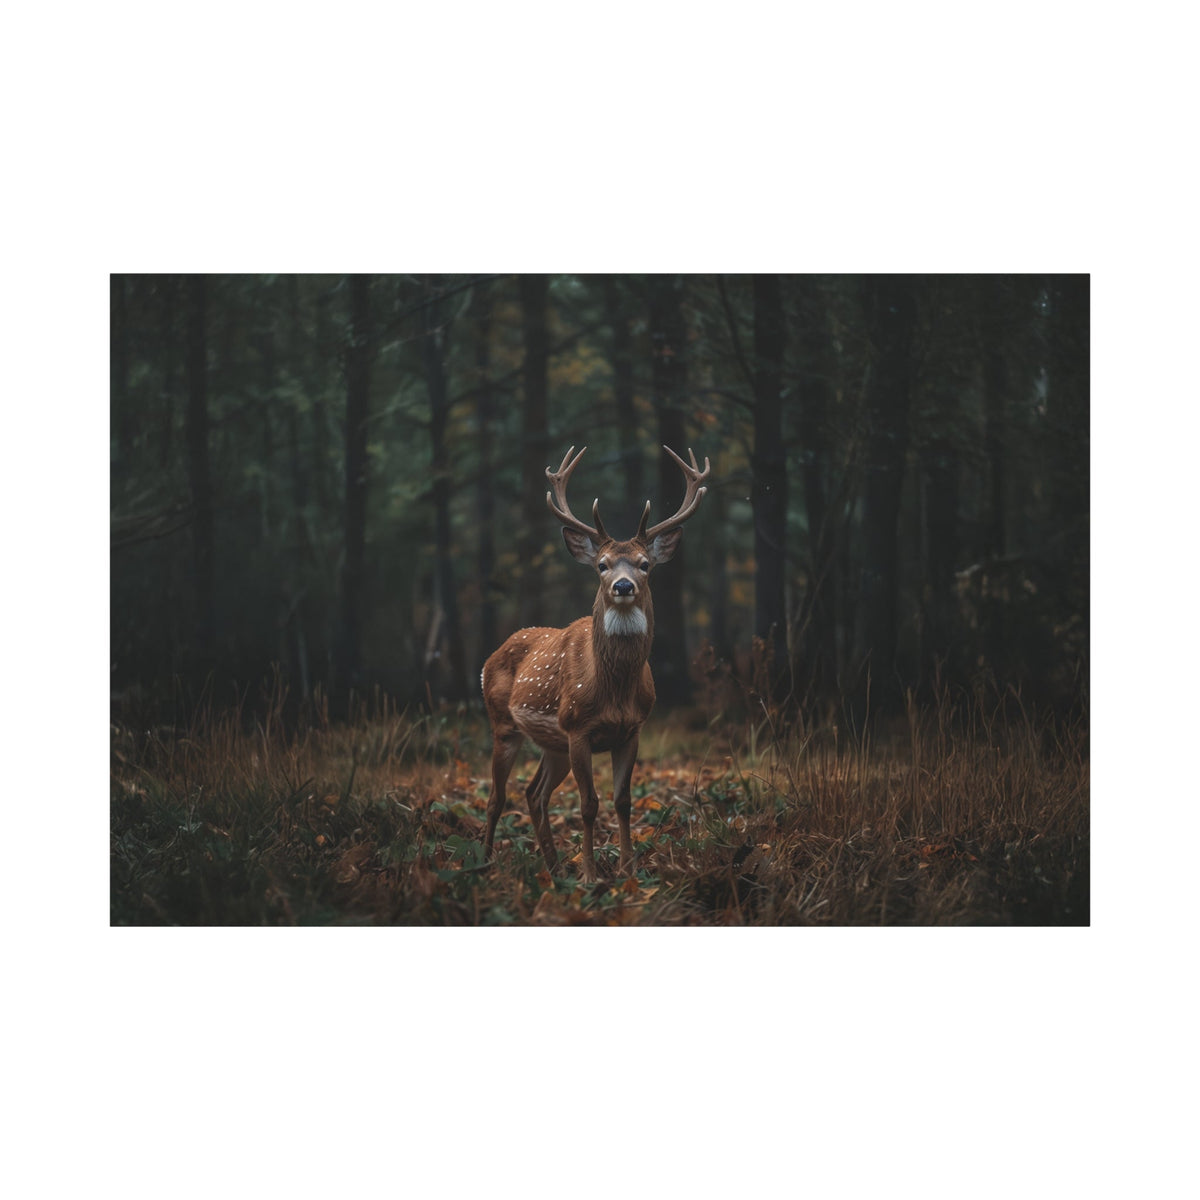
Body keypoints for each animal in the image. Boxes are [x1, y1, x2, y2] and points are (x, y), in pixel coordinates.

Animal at [481, 444, 710, 883]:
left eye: (644, 564)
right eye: (602, 564)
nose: (622, 585)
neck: (613, 690)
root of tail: (490, 656)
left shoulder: (632, 729)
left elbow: (622, 801)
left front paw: (629, 871)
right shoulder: (578, 728)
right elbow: (589, 805)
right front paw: (589, 875)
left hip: (551, 744)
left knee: (533, 793)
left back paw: (554, 869)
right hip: (504, 724)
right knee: (497, 797)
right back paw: (483, 865)